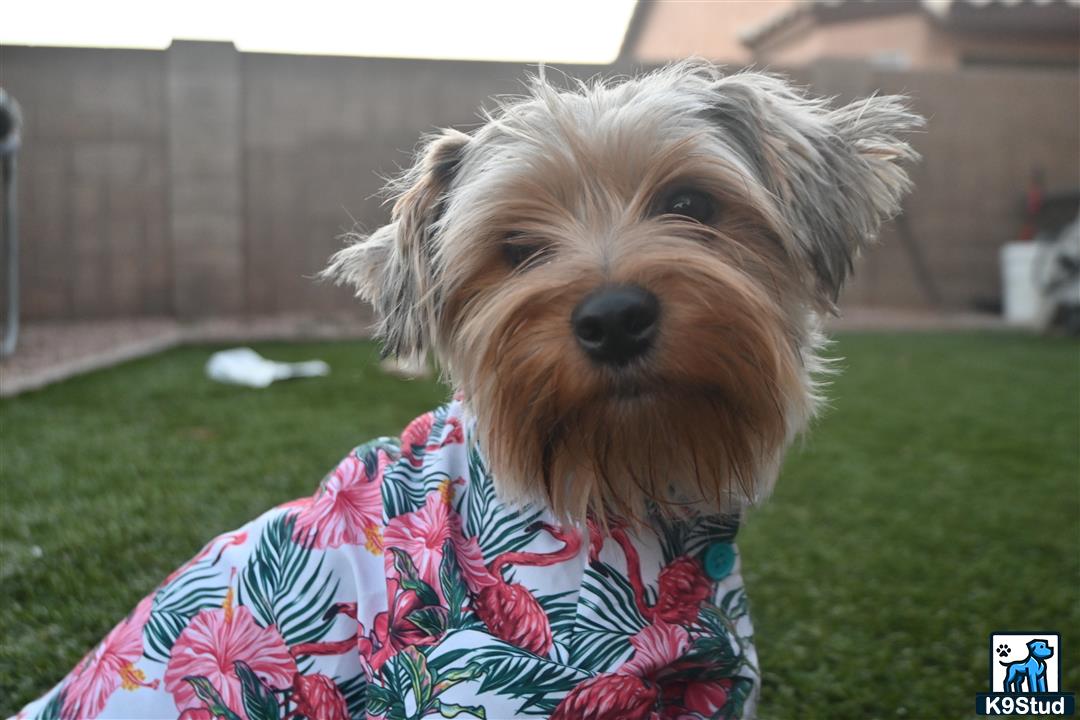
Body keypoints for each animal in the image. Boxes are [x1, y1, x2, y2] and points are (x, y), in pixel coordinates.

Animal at [16, 63, 920, 720]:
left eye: (692, 202)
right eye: (516, 249)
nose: (614, 317)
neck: (621, 487)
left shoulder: (700, 681)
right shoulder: (485, 682)